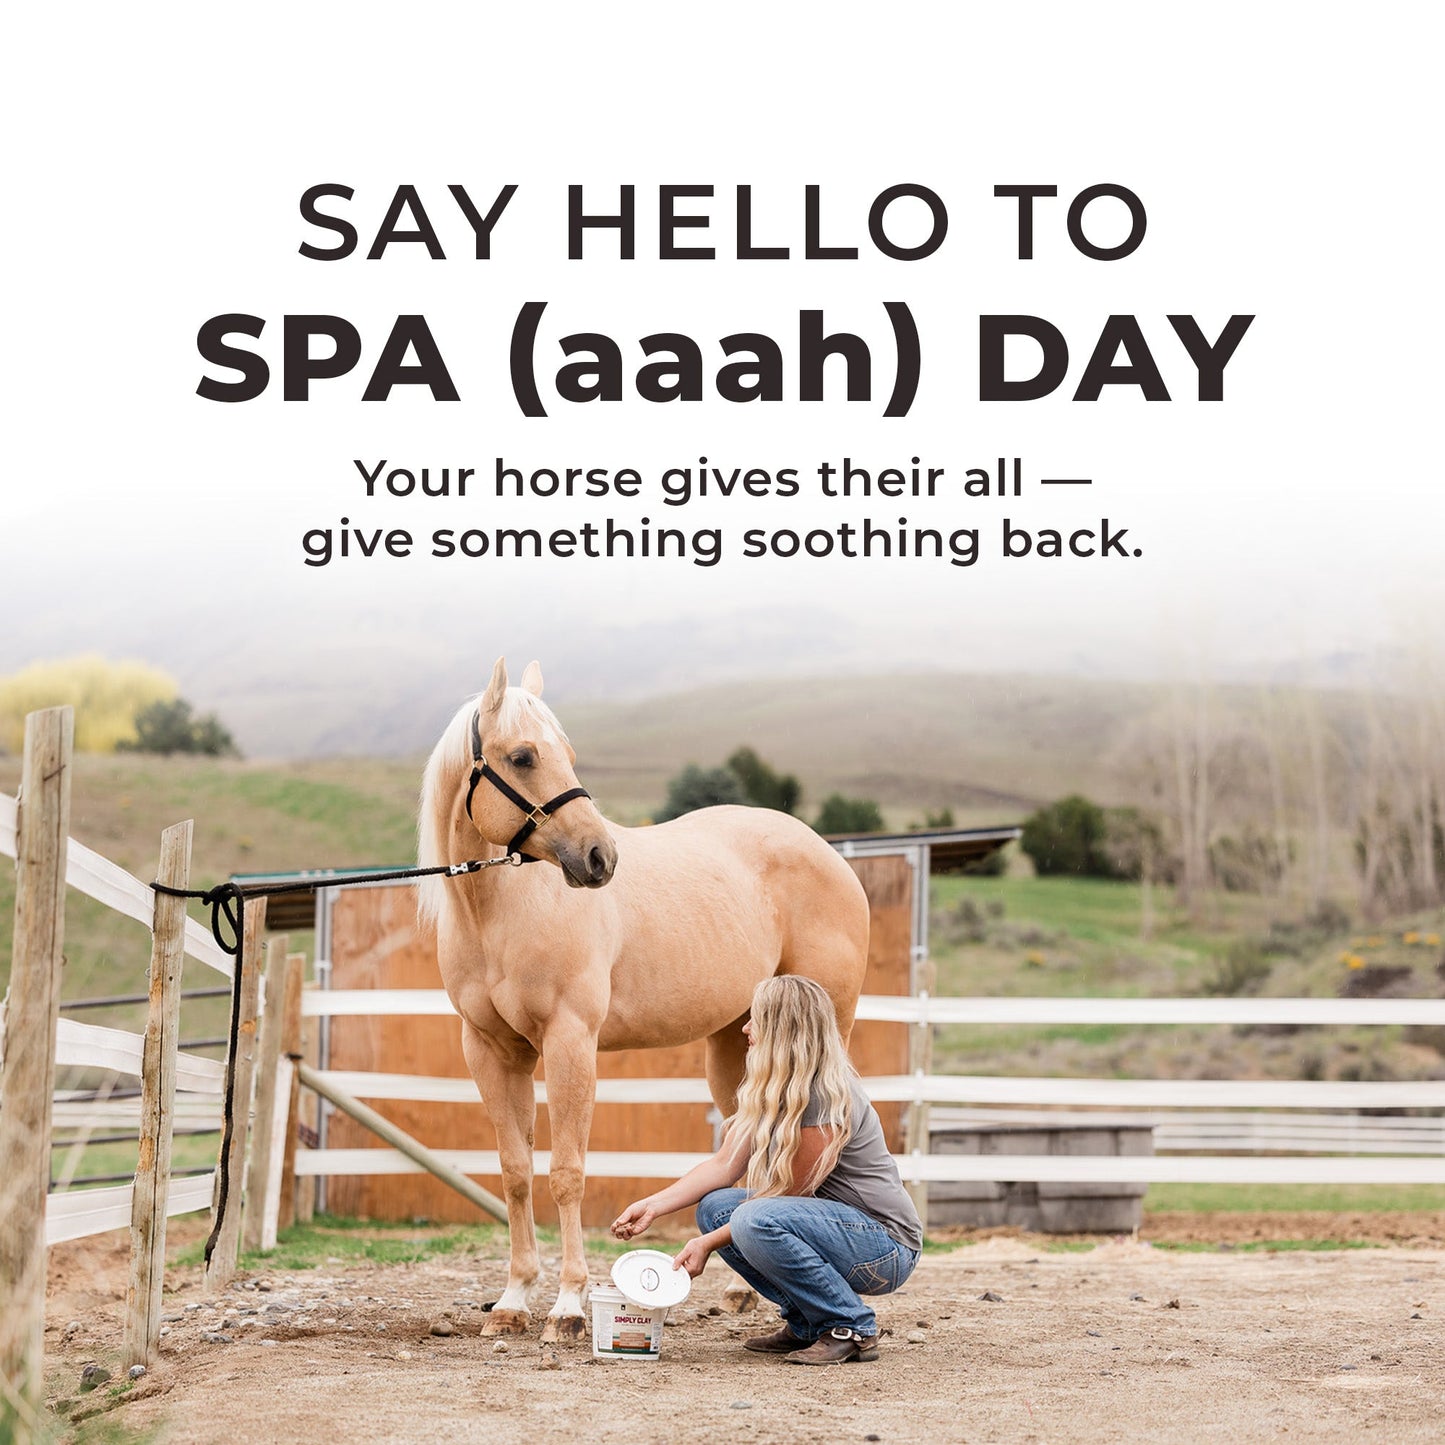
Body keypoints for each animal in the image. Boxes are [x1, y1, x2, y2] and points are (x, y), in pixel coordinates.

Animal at [418, 657, 871, 1342]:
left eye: (568, 753)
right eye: (523, 756)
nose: (599, 857)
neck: (502, 911)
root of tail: (827, 853)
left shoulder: (570, 1042)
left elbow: (567, 1173)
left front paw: (568, 1306)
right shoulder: (492, 1050)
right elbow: (517, 1171)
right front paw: (514, 1300)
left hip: (828, 1022)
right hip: (737, 1040)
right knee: (748, 1146)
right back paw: (740, 1292)